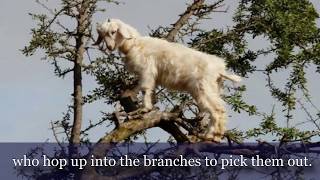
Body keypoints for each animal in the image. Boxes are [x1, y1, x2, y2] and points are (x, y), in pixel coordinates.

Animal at [94, 18, 241, 142]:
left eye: (113, 32)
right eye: (103, 34)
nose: (109, 47)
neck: (135, 44)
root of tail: (220, 69)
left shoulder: (147, 71)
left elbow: (145, 89)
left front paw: (143, 109)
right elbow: (150, 90)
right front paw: (149, 108)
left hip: (203, 88)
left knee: (217, 109)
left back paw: (211, 136)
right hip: (213, 88)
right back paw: (214, 135)